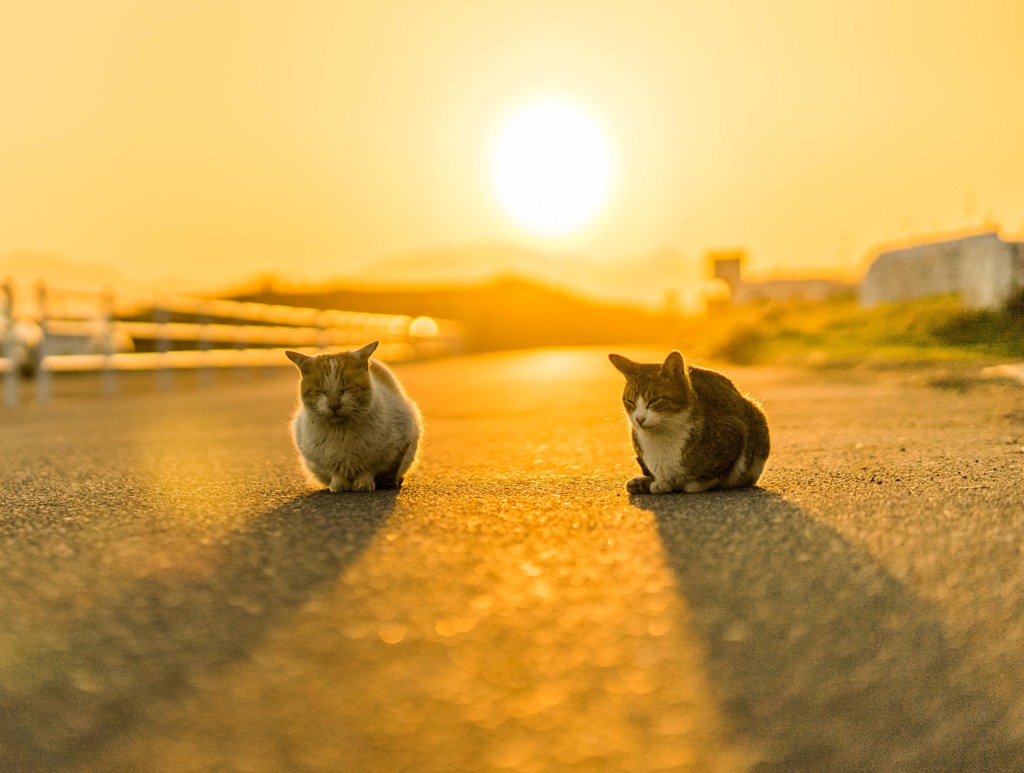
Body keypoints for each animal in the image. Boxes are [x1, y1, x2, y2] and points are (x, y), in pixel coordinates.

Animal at [284, 341, 419, 493]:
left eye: (346, 389)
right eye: (321, 392)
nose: (334, 405)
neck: (340, 432)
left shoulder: (387, 453)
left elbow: (368, 470)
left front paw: (363, 483)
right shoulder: (319, 459)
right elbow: (335, 471)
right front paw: (339, 484)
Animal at [606, 352, 770, 495]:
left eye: (655, 400)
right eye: (630, 401)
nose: (639, 419)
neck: (661, 436)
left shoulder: (735, 434)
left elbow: (716, 474)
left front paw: (693, 484)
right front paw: (658, 482)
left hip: (756, 414)